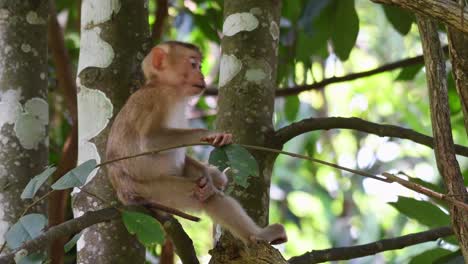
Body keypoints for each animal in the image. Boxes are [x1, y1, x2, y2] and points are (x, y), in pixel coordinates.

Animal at [106, 41, 288, 245]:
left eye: (200, 66)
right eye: (193, 65)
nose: (201, 74)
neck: (166, 87)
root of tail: (123, 193)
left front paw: (208, 174)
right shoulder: (157, 99)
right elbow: (149, 140)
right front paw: (208, 135)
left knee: (210, 195)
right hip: (155, 190)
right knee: (204, 196)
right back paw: (259, 235)